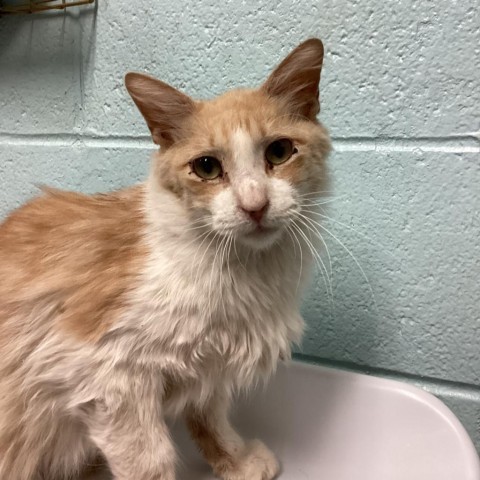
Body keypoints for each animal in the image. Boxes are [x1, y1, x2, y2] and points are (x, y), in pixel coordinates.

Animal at [0, 38, 330, 480]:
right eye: (207, 167)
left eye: (279, 152)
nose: (255, 206)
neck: (241, 271)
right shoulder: (106, 376)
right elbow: (148, 461)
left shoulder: (212, 367)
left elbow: (211, 420)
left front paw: (236, 461)